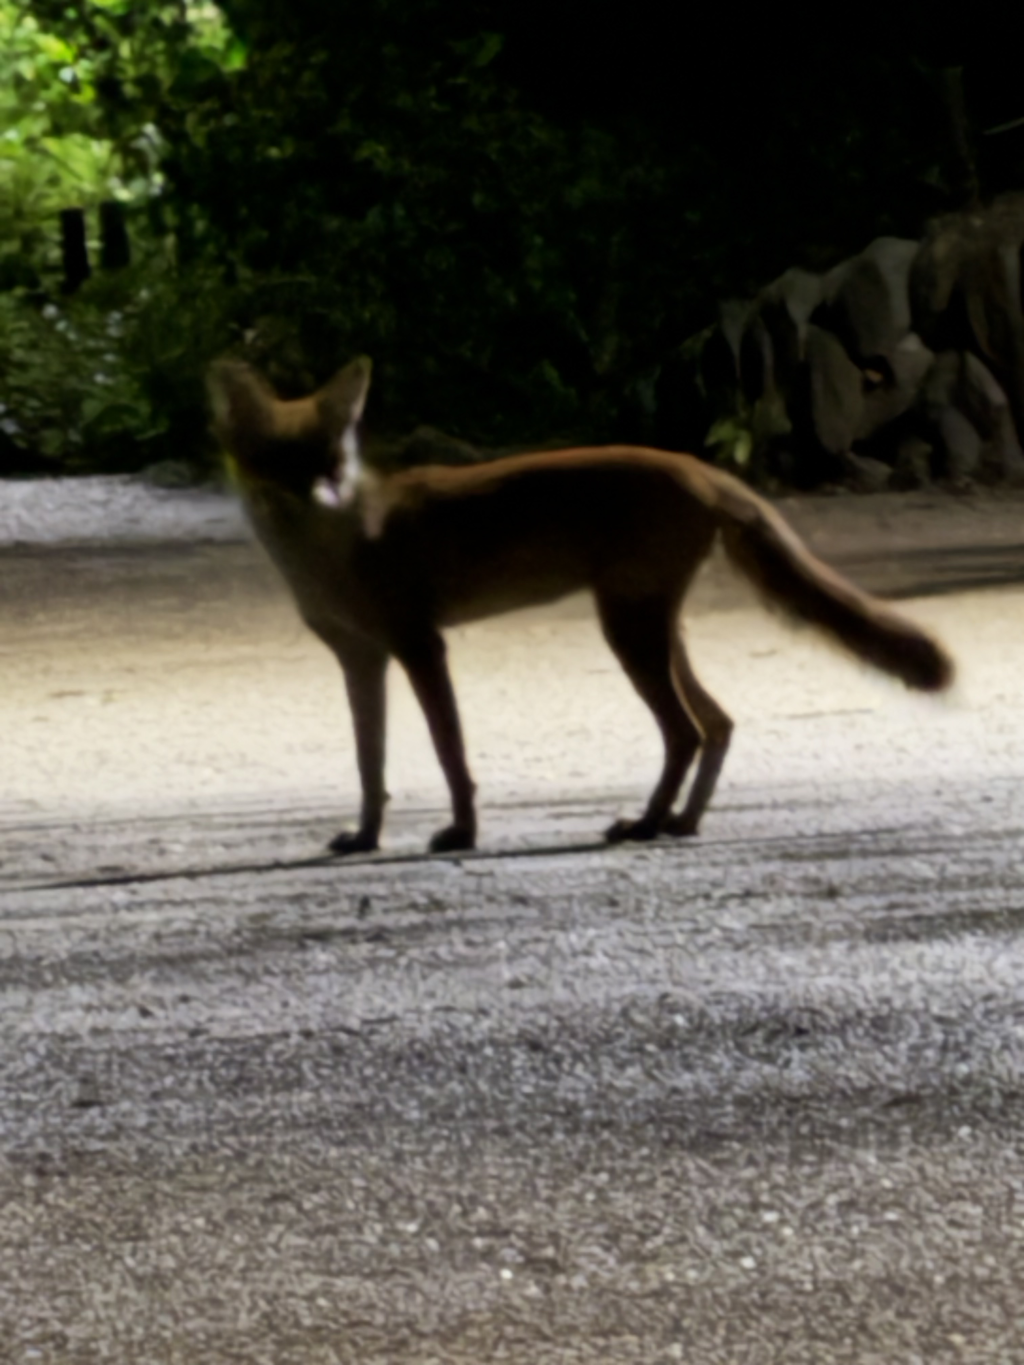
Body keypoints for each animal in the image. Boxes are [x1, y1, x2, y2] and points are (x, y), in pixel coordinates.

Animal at [208, 355, 954, 856]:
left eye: (332, 459)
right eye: (283, 462)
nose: (326, 493)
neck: (333, 553)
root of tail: (703, 468)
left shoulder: (419, 643)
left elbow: (450, 753)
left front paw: (463, 833)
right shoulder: (359, 658)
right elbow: (372, 764)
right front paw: (366, 837)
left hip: (627, 630)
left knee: (686, 731)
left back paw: (648, 824)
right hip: (653, 630)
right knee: (718, 723)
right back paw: (680, 823)